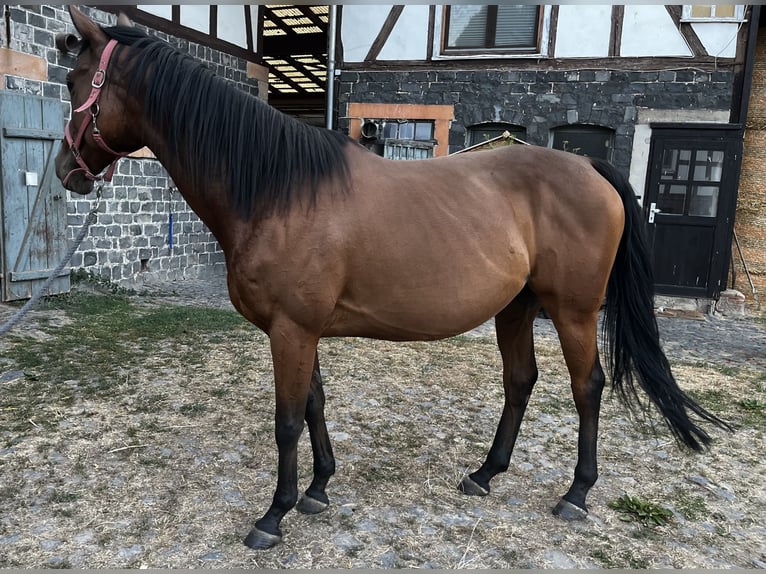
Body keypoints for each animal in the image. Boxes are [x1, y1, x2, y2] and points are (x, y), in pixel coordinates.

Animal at [55, 6, 730, 550]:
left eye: (73, 81)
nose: (66, 170)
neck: (278, 190)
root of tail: (589, 166)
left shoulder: (291, 330)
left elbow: (286, 419)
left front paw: (273, 516)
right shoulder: (300, 330)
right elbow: (315, 403)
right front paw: (319, 490)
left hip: (573, 310)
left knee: (586, 389)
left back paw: (576, 494)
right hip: (516, 307)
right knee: (520, 382)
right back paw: (485, 474)